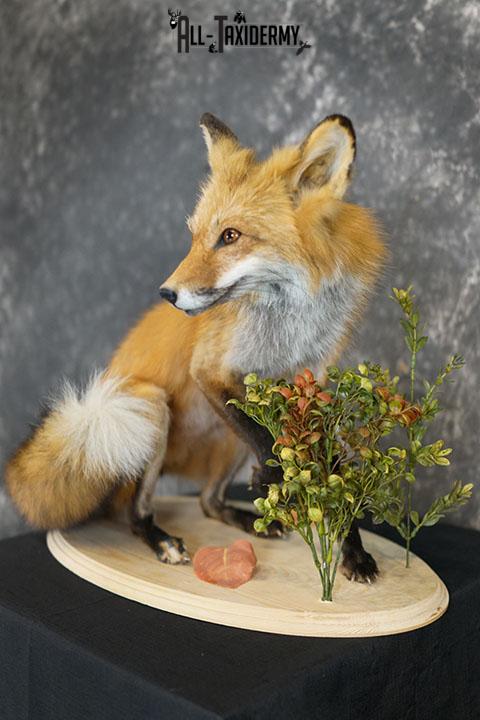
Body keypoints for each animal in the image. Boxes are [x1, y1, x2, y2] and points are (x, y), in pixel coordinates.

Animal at [6, 112, 386, 581]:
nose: (166, 293)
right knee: (135, 513)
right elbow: (267, 443)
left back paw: (249, 519)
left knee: (208, 501)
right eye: (195, 235)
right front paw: (275, 481)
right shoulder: (210, 370)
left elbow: (325, 470)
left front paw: (352, 548)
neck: (290, 321)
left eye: (230, 235)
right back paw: (162, 539)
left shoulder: (308, 383)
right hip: (141, 411)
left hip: (225, 433)